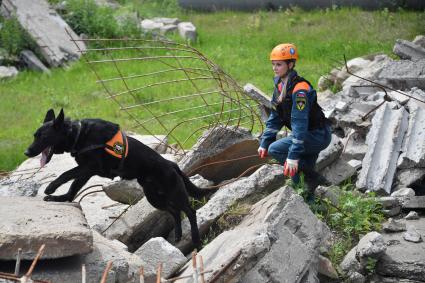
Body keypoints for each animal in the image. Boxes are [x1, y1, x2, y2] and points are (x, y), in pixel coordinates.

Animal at [24, 110, 214, 247]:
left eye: (44, 137)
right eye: (34, 135)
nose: (26, 152)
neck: (77, 134)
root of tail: (171, 164)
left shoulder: (90, 167)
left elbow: (65, 174)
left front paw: (51, 187)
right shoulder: (86, 172)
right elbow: (72, 189)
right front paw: (60, 198)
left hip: (174, 193)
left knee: (190, 211)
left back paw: (195, 240)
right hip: (154, 197)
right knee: (174, 212)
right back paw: (178, 236)